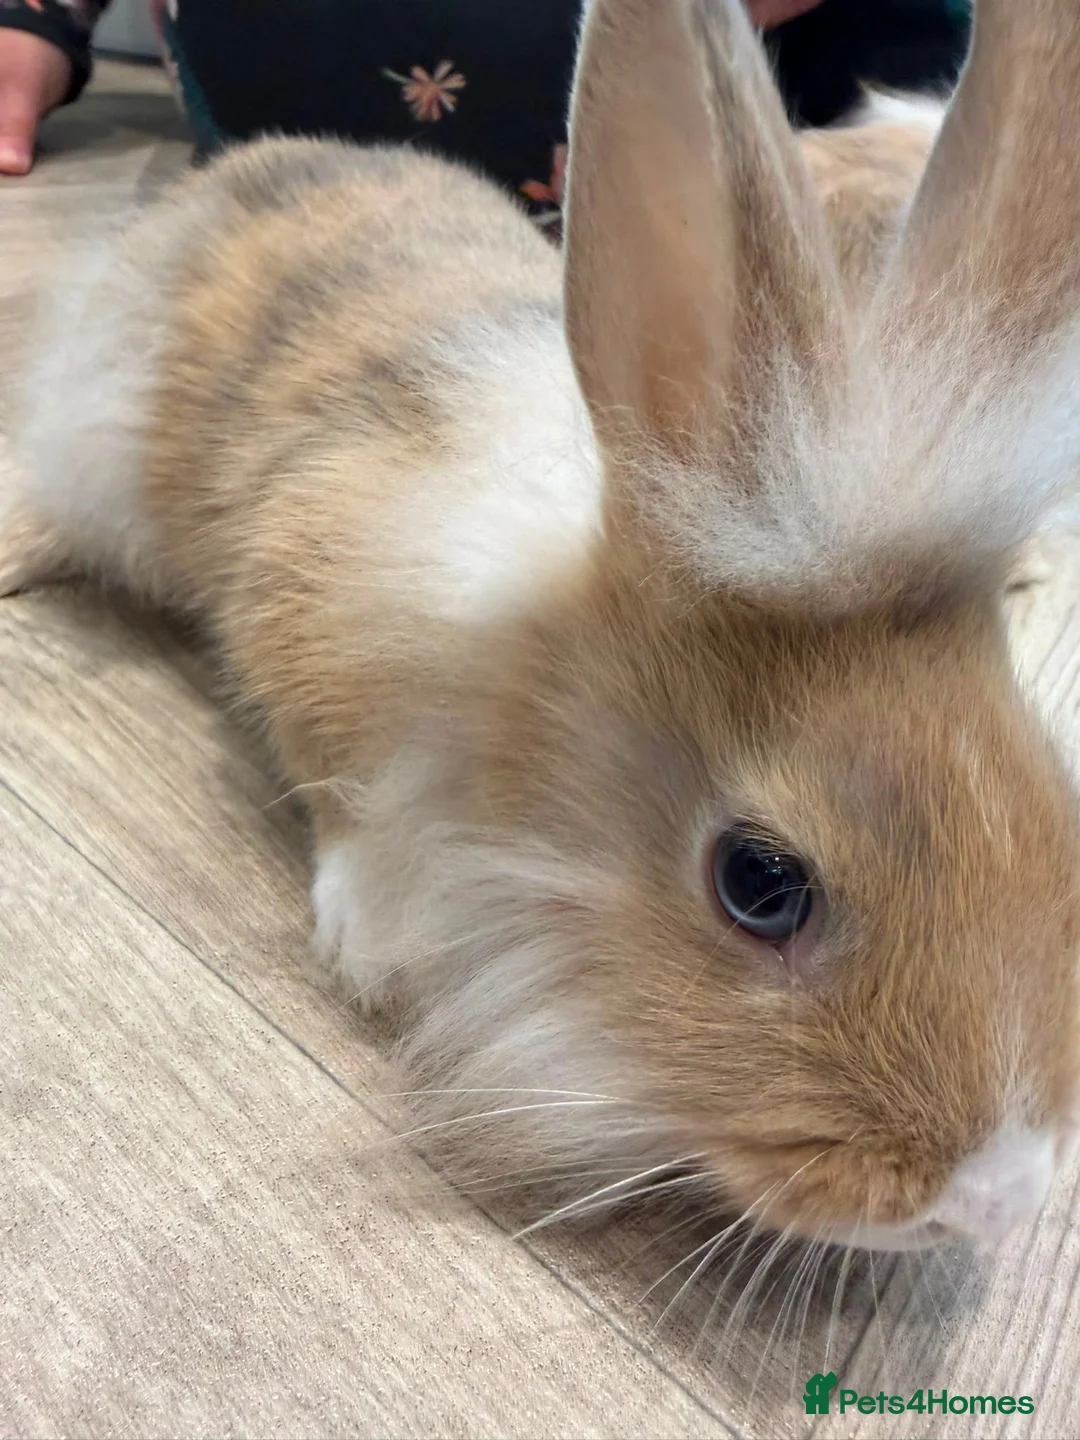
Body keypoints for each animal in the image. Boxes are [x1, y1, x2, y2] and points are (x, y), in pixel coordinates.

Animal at [4, 0, 1080, 1254]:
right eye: (760, 885)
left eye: (1054, 801)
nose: (998, 1198)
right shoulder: (305, 604)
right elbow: (336, 788)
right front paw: (374, 941)